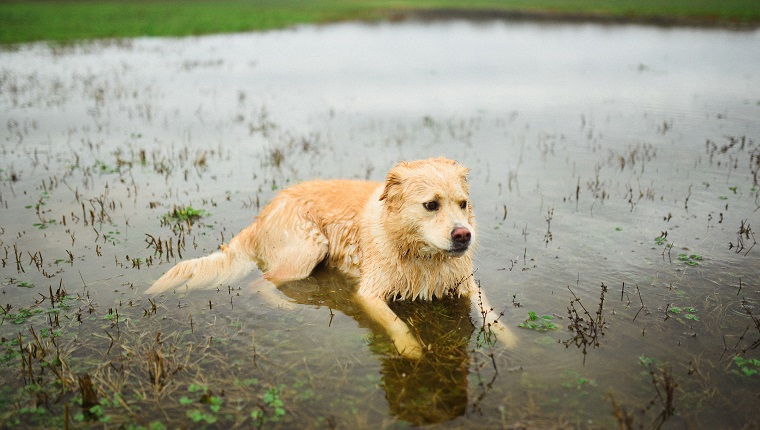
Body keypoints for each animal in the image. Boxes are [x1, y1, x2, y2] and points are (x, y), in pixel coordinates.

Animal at [147, 158, 516, 360]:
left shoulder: (465, 283)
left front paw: (513, 340)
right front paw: (410, 349)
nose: (464, 235)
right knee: (258, 283)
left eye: (463, 203)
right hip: (309, 249)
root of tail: (265, 212)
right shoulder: (369, 294)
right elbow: (396, 322)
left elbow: (489, 311)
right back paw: (285, 305)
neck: (422, 255)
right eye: (431, 205)